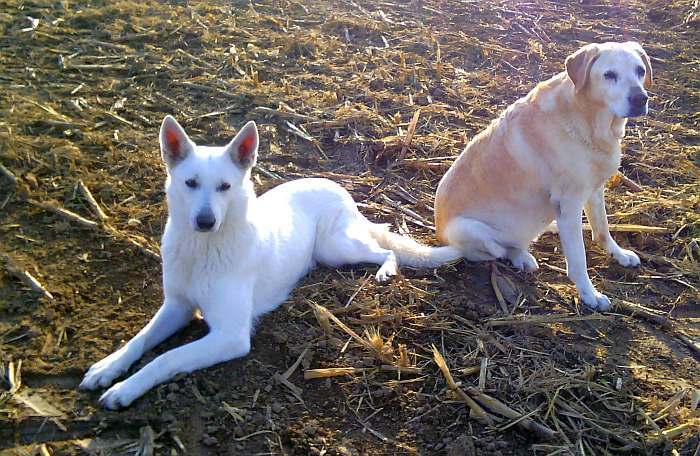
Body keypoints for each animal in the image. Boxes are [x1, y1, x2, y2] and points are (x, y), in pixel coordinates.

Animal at [79, 116, 460, 408]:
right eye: (190, 183)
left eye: (224, 186)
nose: (205, 221)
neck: (204, 248)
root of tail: (337, 187)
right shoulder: (177, 307)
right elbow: (140, 339)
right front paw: (108, 367)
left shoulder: (230, 335)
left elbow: (166, 357)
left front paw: (126, 389)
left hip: (336, 248)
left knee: (384, 249)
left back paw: (385, 271)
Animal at [434, 41, 652, 310]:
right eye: (609, 75)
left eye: (640, 70)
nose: (640, 98)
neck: (588, 121)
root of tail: (440, 235)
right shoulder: (569, 204)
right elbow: (578, 259)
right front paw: (589, 295)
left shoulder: (594, 191)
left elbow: (601, 229)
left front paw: (618, 254)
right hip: (466, 229)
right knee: (499, 250)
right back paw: (521, 256)